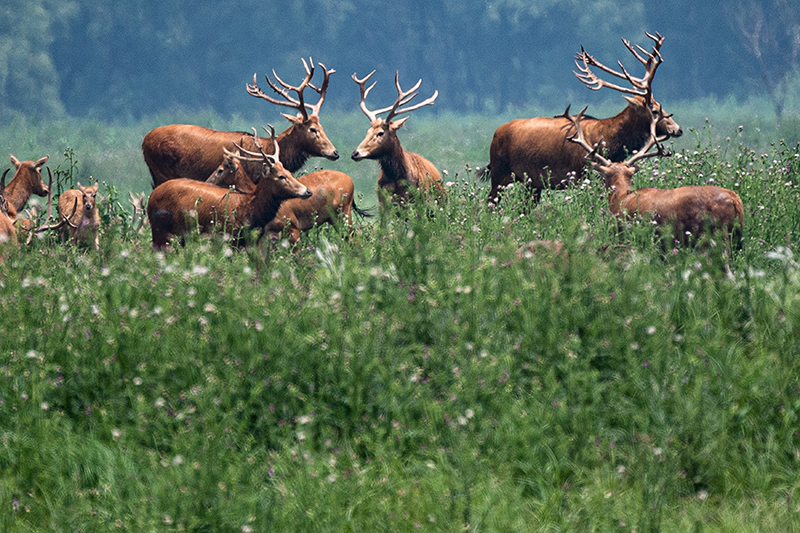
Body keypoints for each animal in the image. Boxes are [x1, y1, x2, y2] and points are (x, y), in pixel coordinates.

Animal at [142, 58, 339, 188]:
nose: (335, 152)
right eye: (312, 129)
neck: (268, 149)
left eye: (322, 127)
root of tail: (144, 141)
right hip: (162, 171)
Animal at [147, 126, 312, 249]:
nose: (307, 191)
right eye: (281, 176)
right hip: (160, 231)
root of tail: (151, 197)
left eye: (289, 173)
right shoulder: (229, 237)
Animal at [484, 32, 683, 204]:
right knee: (490, 203)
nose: (678, 129)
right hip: (499, 172)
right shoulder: (582, 174)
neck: (610, 141)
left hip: (531, 183)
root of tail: (496, 133)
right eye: (655, 110)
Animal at [563, 104, 743, 254]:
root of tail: (735, 199)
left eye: (605, 175)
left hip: (715, 234)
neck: (620, 197)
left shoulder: (625, 232)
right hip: (737, 236)